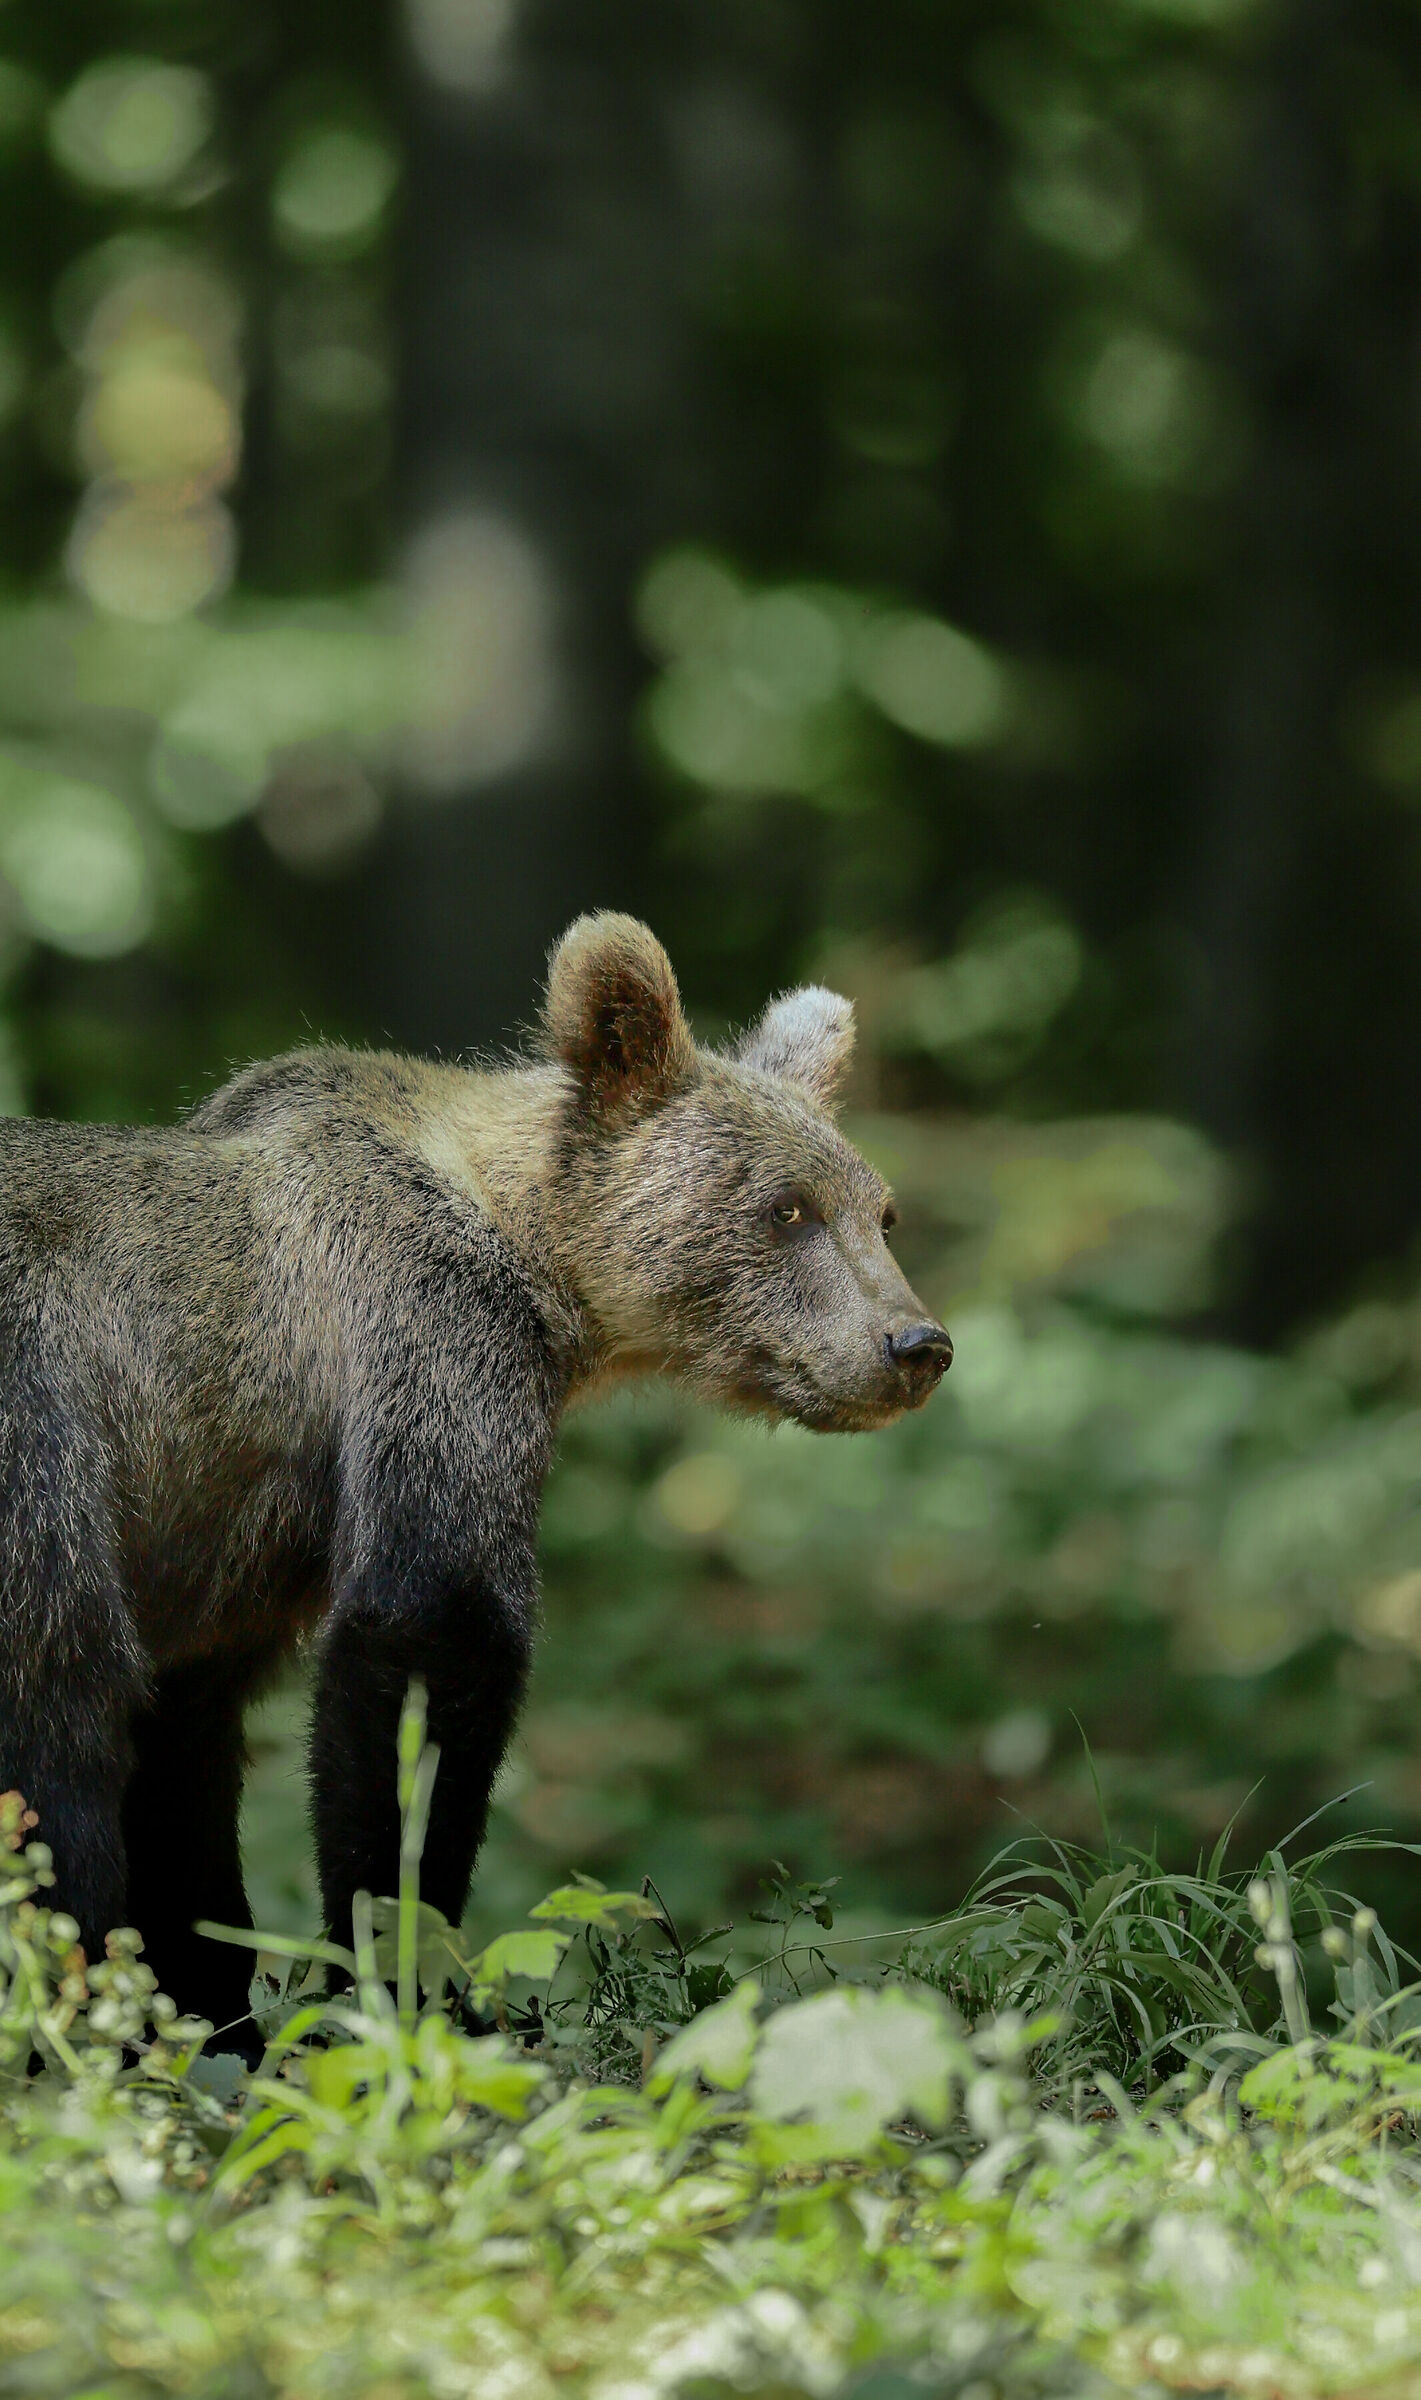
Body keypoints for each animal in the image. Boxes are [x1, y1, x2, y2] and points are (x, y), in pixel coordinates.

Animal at [0, 914, 950, 2053]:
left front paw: (211, 2006)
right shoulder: (430, 1339)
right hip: (38, 1445)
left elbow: (183, 1759)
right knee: (57, 1694)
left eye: (881, 1213)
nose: (914, 1345)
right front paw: (407, 1980)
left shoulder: (212, 1538)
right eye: (786, 1209)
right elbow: (431, 1636)